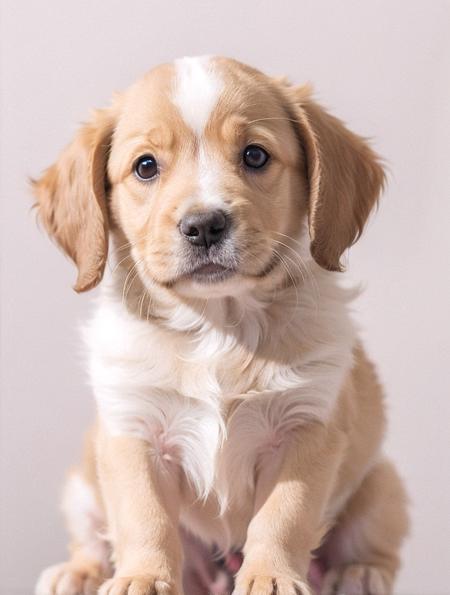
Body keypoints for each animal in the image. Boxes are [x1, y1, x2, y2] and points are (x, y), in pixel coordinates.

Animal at [33, 57, 410, 595]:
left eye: (254, 156)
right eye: (145, 166)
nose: (204, 225)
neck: (218, 329)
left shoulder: (307, 429)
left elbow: (284, 516)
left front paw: (271, 576)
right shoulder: (132, 429)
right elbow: (144, 517)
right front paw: (142, 577)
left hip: (381, 481)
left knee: (373, 540)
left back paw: (358, 572)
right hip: (81, 484)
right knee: (92, 537)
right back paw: (79, 572)